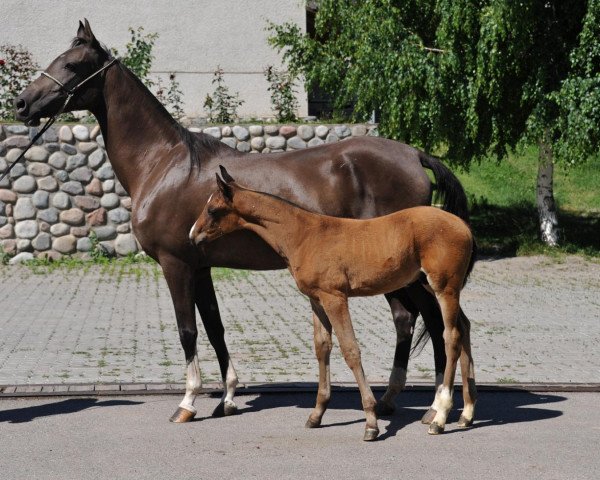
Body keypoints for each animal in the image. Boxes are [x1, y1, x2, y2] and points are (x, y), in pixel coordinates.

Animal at [190, 167, 476, 440]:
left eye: (212, 209)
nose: (193, 235)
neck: (304, 235)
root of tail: (464, 227)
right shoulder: (316, 300)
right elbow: (322, 348)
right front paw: (316, 415)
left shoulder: (335, 297)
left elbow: (350, 350)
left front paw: (371, 422)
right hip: (433, 286)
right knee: (464, 327)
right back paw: (467, 414)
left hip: (444, 287)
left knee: (451, 335)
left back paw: (440, 417)